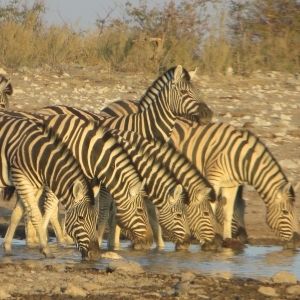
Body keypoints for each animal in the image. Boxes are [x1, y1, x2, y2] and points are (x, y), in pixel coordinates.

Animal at [0, 115, 99, 258]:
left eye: (96, 219)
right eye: (81, 218)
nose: (96, 255)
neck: (40, 156)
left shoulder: (34, 185)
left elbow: (17, 214)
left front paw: (7, 248)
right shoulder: (21, 178)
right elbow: (36, 215)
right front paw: (46, 249)